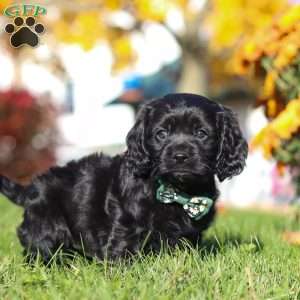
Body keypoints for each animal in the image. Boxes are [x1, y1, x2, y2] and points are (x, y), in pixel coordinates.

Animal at [0, 92, 247, 262]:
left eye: (201, 134)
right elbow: (122, 252)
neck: (175, 191)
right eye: (161, 134)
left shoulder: (191, 234)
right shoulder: (126, 223)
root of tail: (32, 187)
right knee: (42, 249)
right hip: (46, 225)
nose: (180, 156)